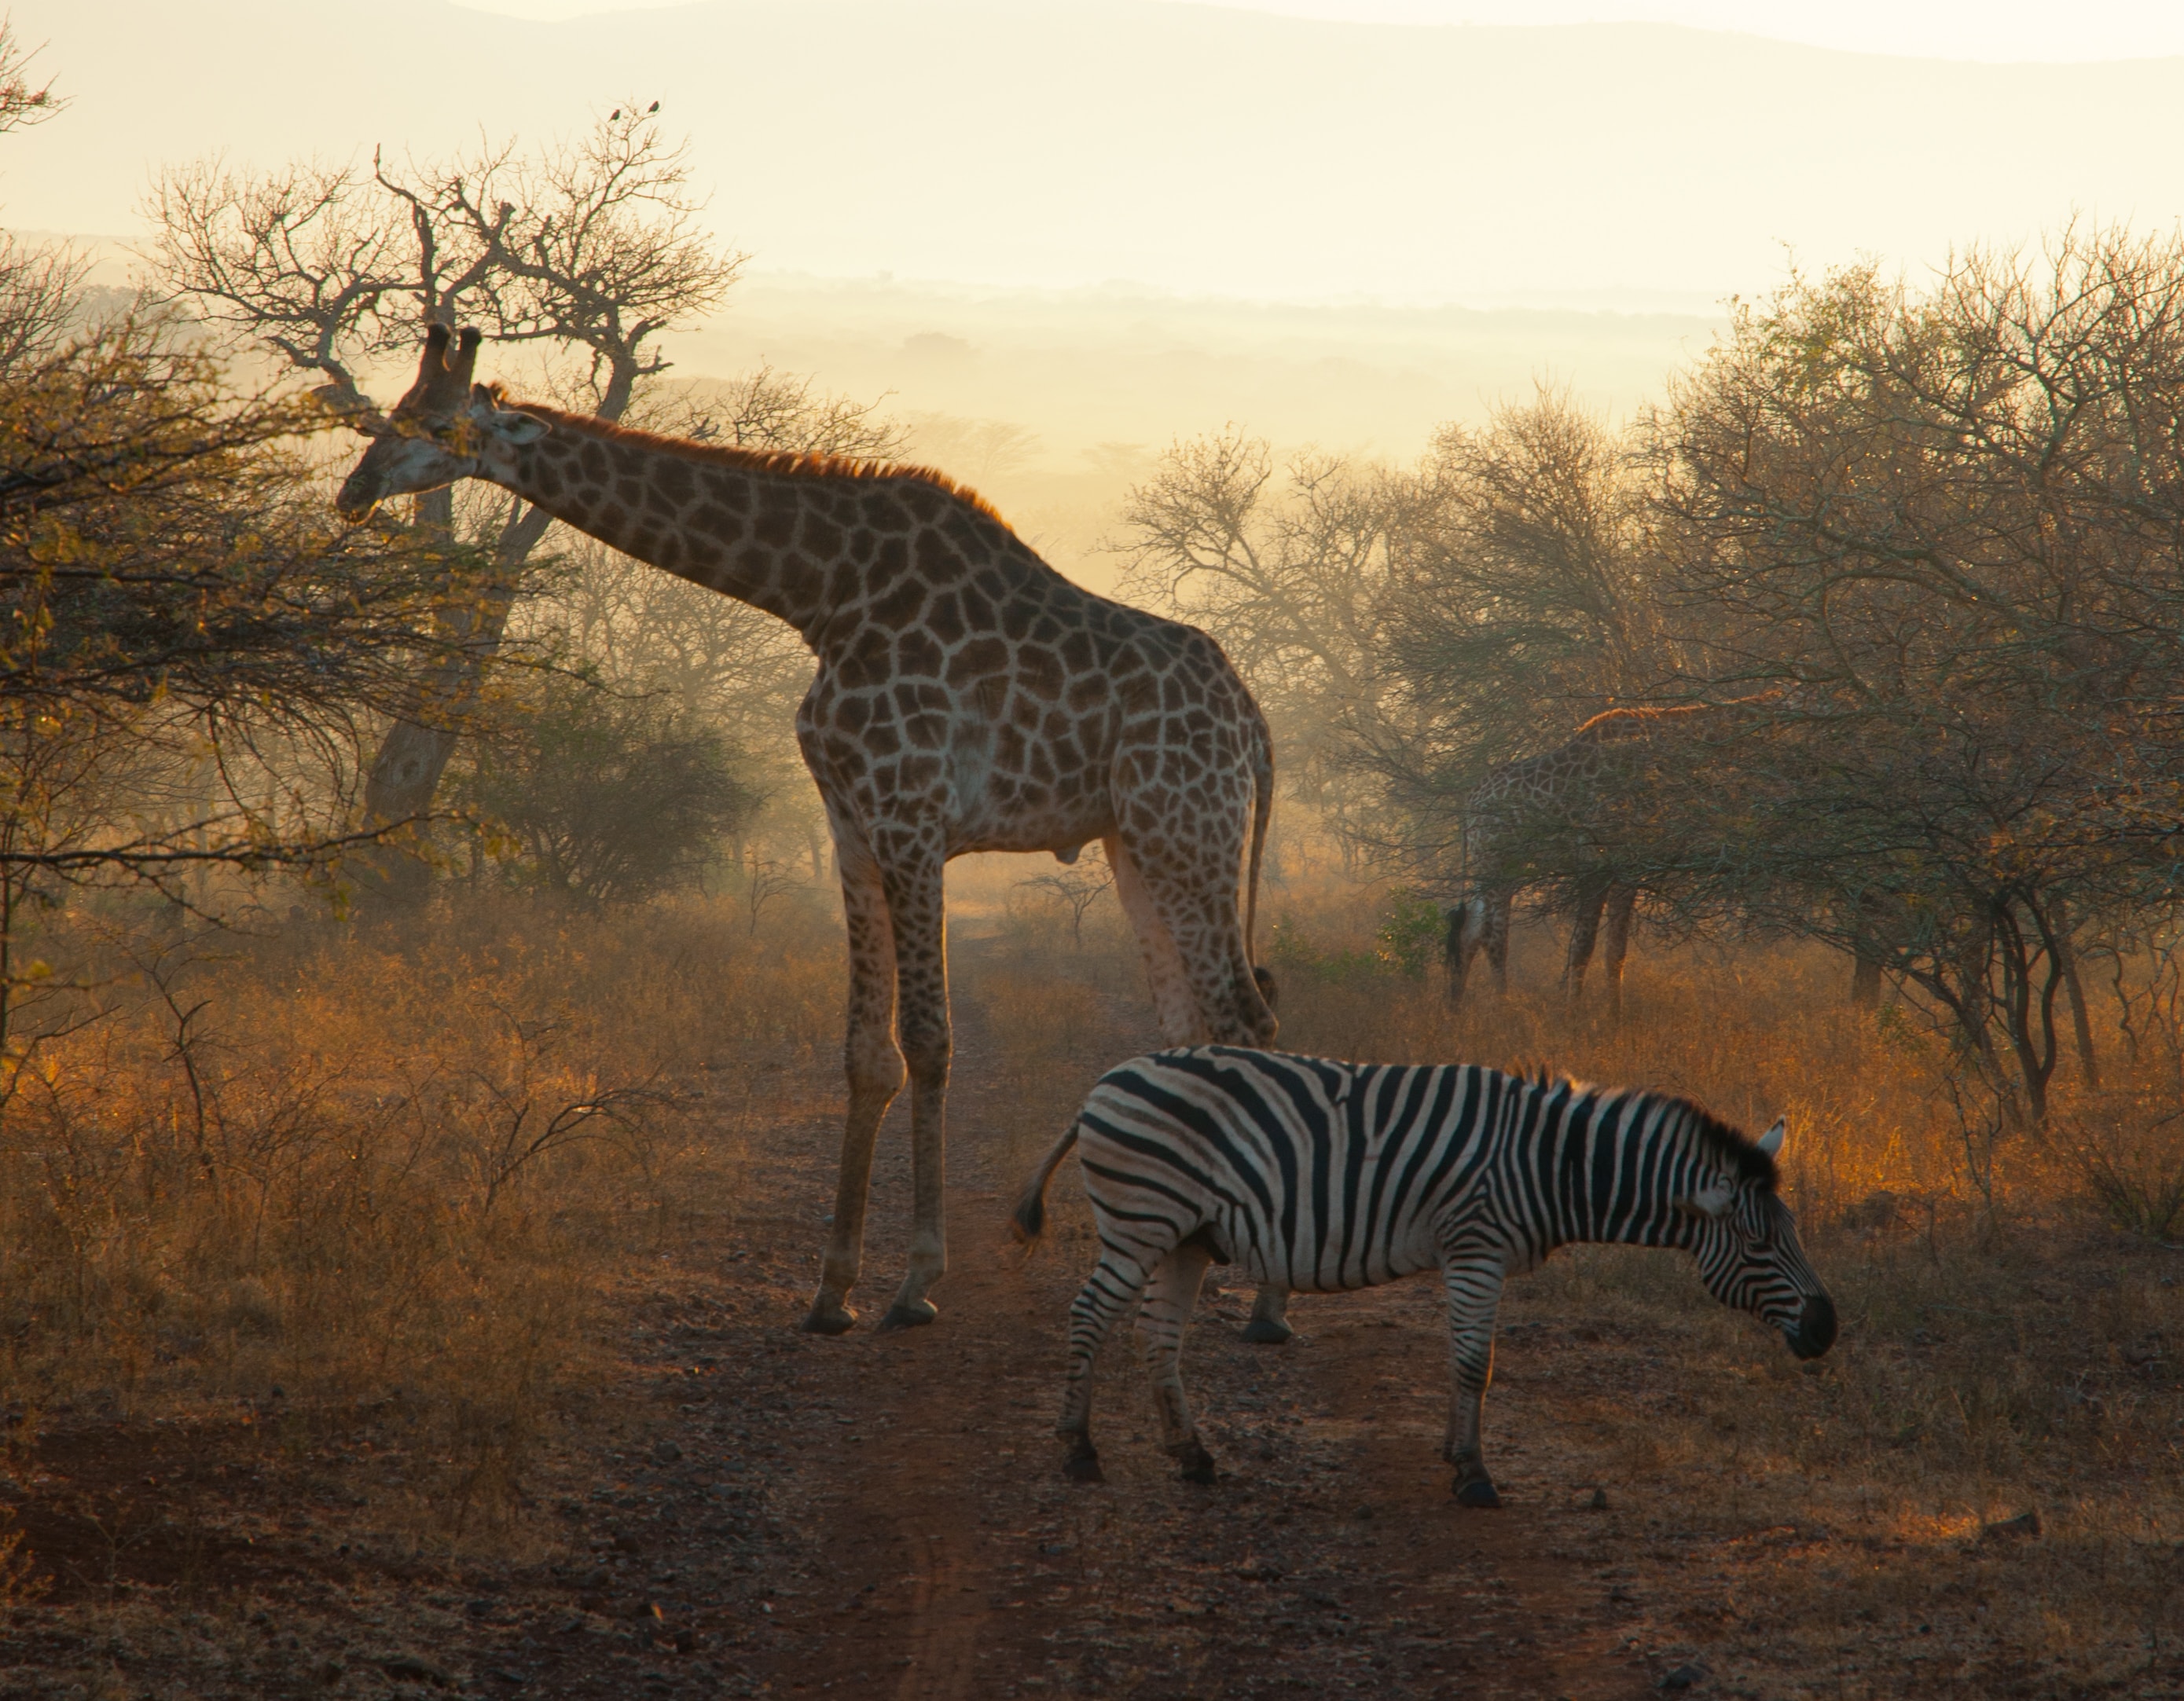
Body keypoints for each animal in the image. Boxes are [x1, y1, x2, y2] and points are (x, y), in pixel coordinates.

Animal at [323, 332, 1275, 1336]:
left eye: (434, 424)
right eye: (392, 411)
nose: (354, 488)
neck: (819, 594)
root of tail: (1251, 717)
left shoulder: (910, 812)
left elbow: (929, 1039)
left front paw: (915, 1282)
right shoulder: (849, 822)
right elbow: (866, 1053)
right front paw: (832, 1288)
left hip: (1189, 826)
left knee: (1243, 1013)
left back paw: (1264, 1302)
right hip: (1137, 841)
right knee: (1188, 1023)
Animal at [1013, 1043, 1834, 1511]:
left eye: (1793, 1231)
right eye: (1759, 1244)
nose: (1827, 1328)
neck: (1551, 1163)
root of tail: (1107, 1080)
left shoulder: (1466, 1255)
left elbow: (1461, 1360)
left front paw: (1451, 1451)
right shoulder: (1476, 1247)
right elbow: (1476, 1363)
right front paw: (1472, 1474)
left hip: (1185, 1235)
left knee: (1158, 1335)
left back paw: (1191, 1454)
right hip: (1141, 1217)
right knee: (1090, 1314)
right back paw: (1078, 1449)